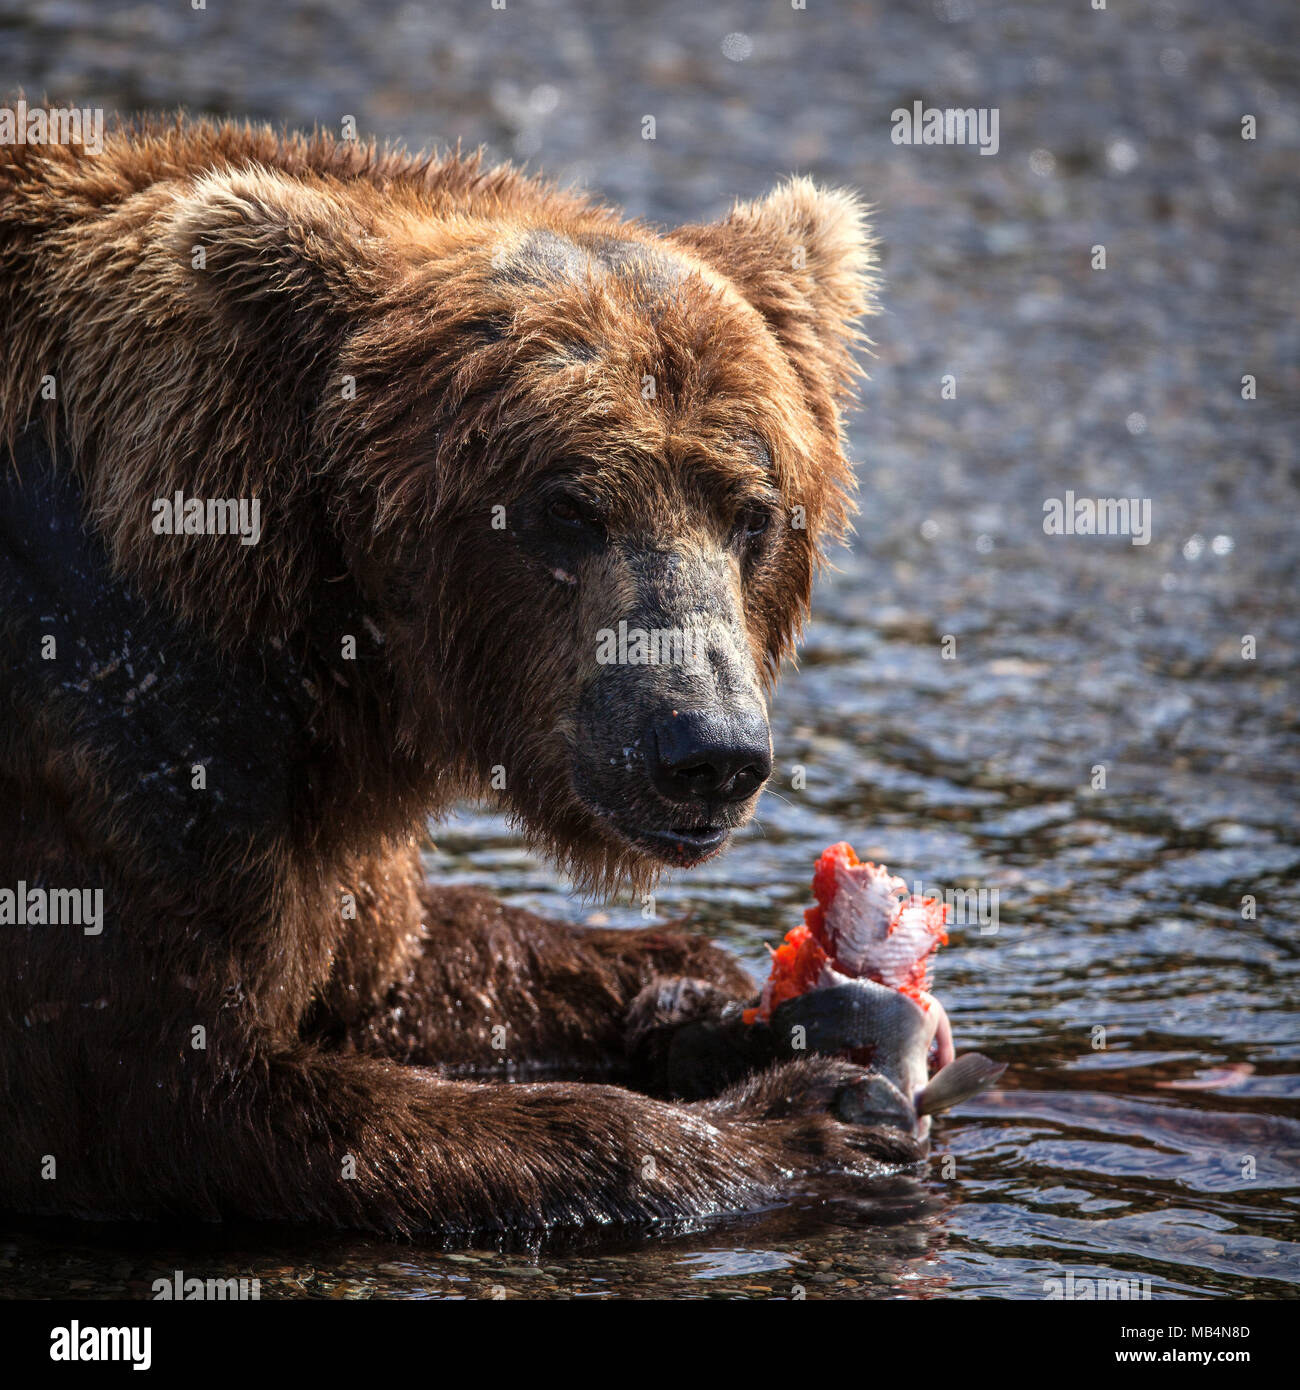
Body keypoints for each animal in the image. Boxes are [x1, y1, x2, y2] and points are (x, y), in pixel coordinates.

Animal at [2, 113, 917, 1234]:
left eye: (753, 511)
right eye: (567, 506)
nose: (705, 750)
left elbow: (399, 951)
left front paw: (708, 999)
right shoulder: (112, 738)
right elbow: (175, 1099)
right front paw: (813, 1115)